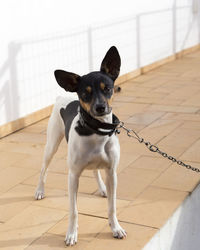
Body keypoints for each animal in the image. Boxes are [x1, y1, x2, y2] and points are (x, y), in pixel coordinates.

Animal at [34, 46, 126, 246]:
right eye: (86, 93)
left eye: (107, 88)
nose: (100, 108)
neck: (97, 130)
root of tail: (61, 96)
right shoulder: (73, 176)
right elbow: (74, 211)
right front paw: (71, 234)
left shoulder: (112, 172)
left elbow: (112, 207)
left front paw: (115, 228)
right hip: (51, 145)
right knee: (44, 169)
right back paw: (39, 190)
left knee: (95, 171)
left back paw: (102, 188)